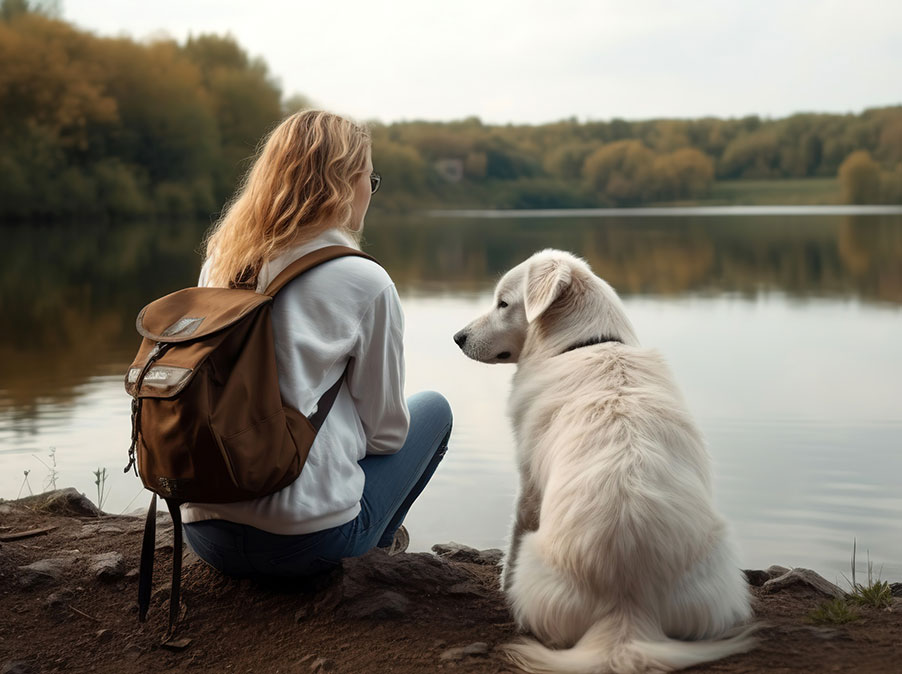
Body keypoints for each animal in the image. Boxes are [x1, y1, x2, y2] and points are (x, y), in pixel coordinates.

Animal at [452, 249, 756, 668]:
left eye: (503, 303)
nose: (458, 338)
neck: (584, 344)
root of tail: (627, 604)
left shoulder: (528, 481)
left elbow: (512, 536)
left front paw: (503, 583)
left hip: (537, 554)